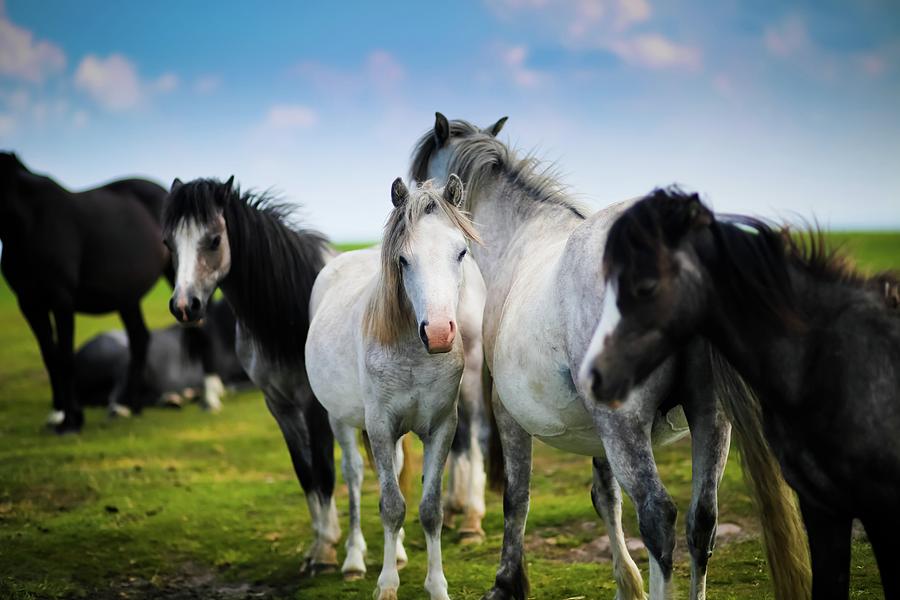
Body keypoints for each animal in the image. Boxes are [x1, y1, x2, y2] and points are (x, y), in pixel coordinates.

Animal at [0, 150, 170, 432]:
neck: (31, 220)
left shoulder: (61, 300)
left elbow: (66, 357)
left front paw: (71, 420)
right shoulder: (29, 302)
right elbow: (50, 356)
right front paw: (58, 414)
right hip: (126, 297)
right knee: (139, 338)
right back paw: (129, 406)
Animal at [162, 176, 342, 576]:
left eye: (214, 239)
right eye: (168, 243)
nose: (184, 306)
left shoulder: (314, 406)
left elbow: (324, 470)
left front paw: (325, 552)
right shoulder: (280, 406)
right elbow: (306, 472)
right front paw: (319, 544)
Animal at [306, 175, 486, 600]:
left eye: (461, 252)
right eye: (403, 260)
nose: (438, 334)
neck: (413, 356)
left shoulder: (441, 428)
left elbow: (429, 508)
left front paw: (437, 586)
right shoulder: (380, 428)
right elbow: (391, 505)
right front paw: (386, 585)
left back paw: (400, 552)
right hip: (341, 420)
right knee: (355, 477)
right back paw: (354, 560)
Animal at [408, 115, 808, 596]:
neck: (522, 236)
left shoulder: (510, 414)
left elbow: (516, 499)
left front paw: (507, 581)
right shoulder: (595, 430)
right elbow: (606, 498)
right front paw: (626, 583)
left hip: (626, 425)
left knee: (658, 517)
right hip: (710, 418)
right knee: (702, 521)